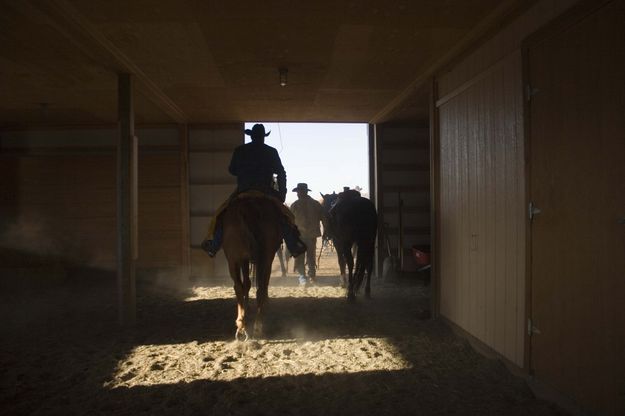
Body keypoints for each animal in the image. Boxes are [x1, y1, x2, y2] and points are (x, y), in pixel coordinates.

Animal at [221, 193, 282, 340]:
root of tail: (250, 208)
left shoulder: (244, 260)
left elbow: (247, 284)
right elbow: (250, 284)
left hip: (234, 259)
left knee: (239, 286)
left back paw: (243, 325)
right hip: (264, 259)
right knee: (260, 288)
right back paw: (255, 325)